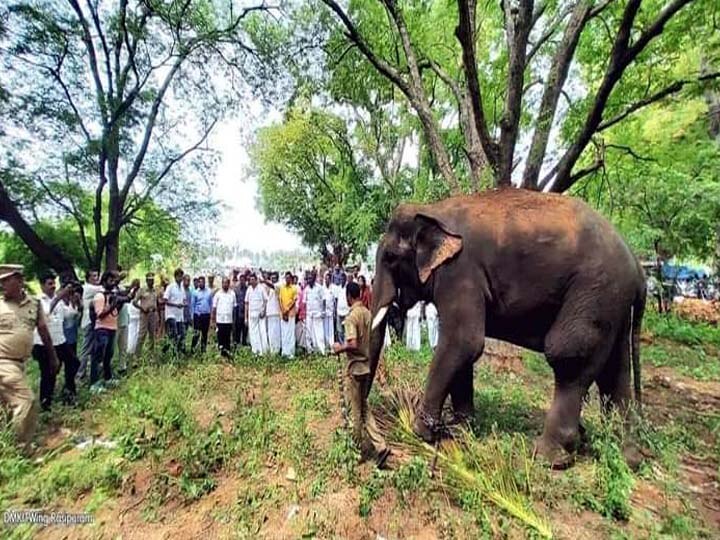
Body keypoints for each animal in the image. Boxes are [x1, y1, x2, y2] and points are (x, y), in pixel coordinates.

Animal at [366, 188, 648, 466]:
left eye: (391, 257)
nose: (379, 447)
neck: (433, 209)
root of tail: (637, 265)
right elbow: (463, 348)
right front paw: (460, 429)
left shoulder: (460, 272)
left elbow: (463, 341)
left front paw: (421, 432)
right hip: (614, 304)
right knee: (615, 370)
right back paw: (627, 458)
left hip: (594, 290)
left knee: (568, 356)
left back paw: (548, 457)